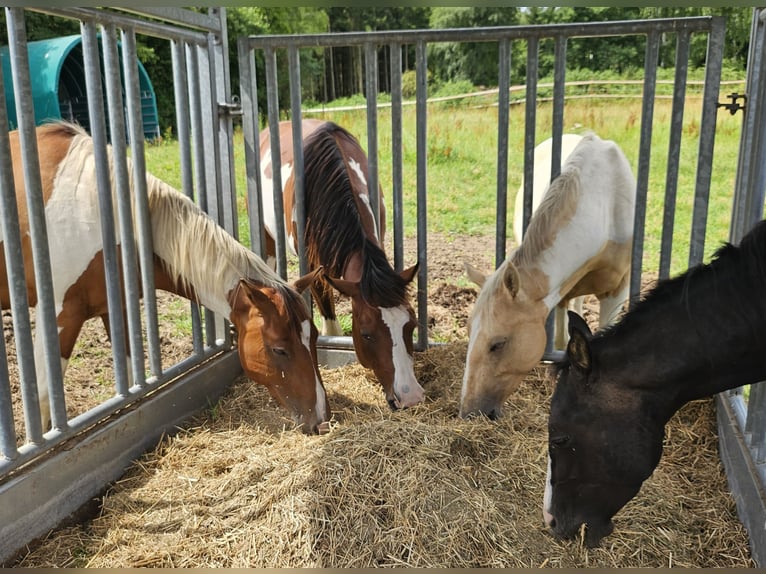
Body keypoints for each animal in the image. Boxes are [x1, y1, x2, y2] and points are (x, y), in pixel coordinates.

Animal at [2, 121, 329, 435]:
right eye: (279, 349)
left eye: (314, 336)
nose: (321, 420)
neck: (102, 217)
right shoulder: (59, 315)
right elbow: (44, 400)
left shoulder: (117, 309)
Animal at [460, 133, 636, 419]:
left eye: (498, 344)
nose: (469, 413)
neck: (605, 204)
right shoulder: (561, 292)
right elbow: (562, 338)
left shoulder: (616, 292)